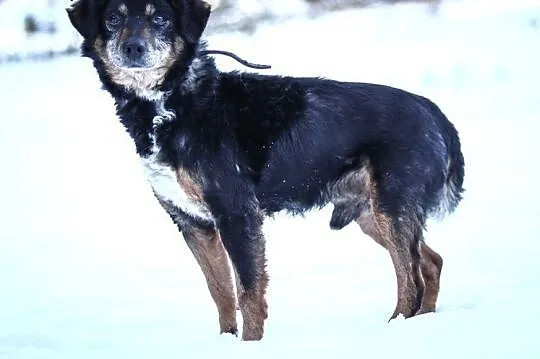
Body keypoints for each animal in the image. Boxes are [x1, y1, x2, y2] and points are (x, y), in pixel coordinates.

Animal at [66, 0, 464, 342]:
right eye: (113, 19)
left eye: (160, 18)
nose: (133, 48)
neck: (169, 103)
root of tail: (437, 115)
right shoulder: (193, 222)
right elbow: (221, 292)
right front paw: (224, 343)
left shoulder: (236, 215)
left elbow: (249, 294)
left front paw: (250, 345)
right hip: (373, 214)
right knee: (431, 263)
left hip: (390, 208)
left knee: (411, 279)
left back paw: (396, 327)